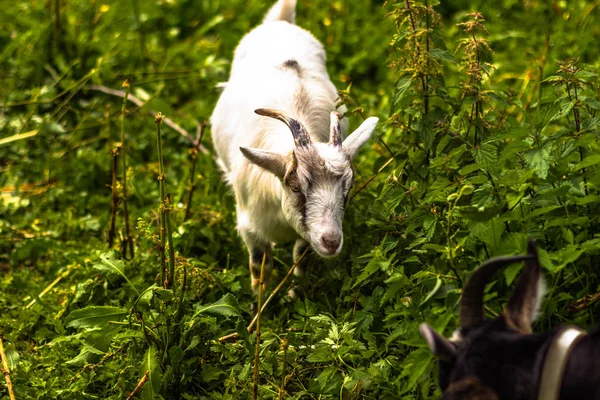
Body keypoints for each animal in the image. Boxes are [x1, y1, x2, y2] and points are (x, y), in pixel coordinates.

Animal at [213, 0, 378, 290]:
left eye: (347, 188)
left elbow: (301, 258)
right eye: (296, 187)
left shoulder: (306, 237)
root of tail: (280, 21)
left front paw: (297, 293)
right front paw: (261, 301)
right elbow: (259, 267)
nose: (331, 241)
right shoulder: (249, 227)